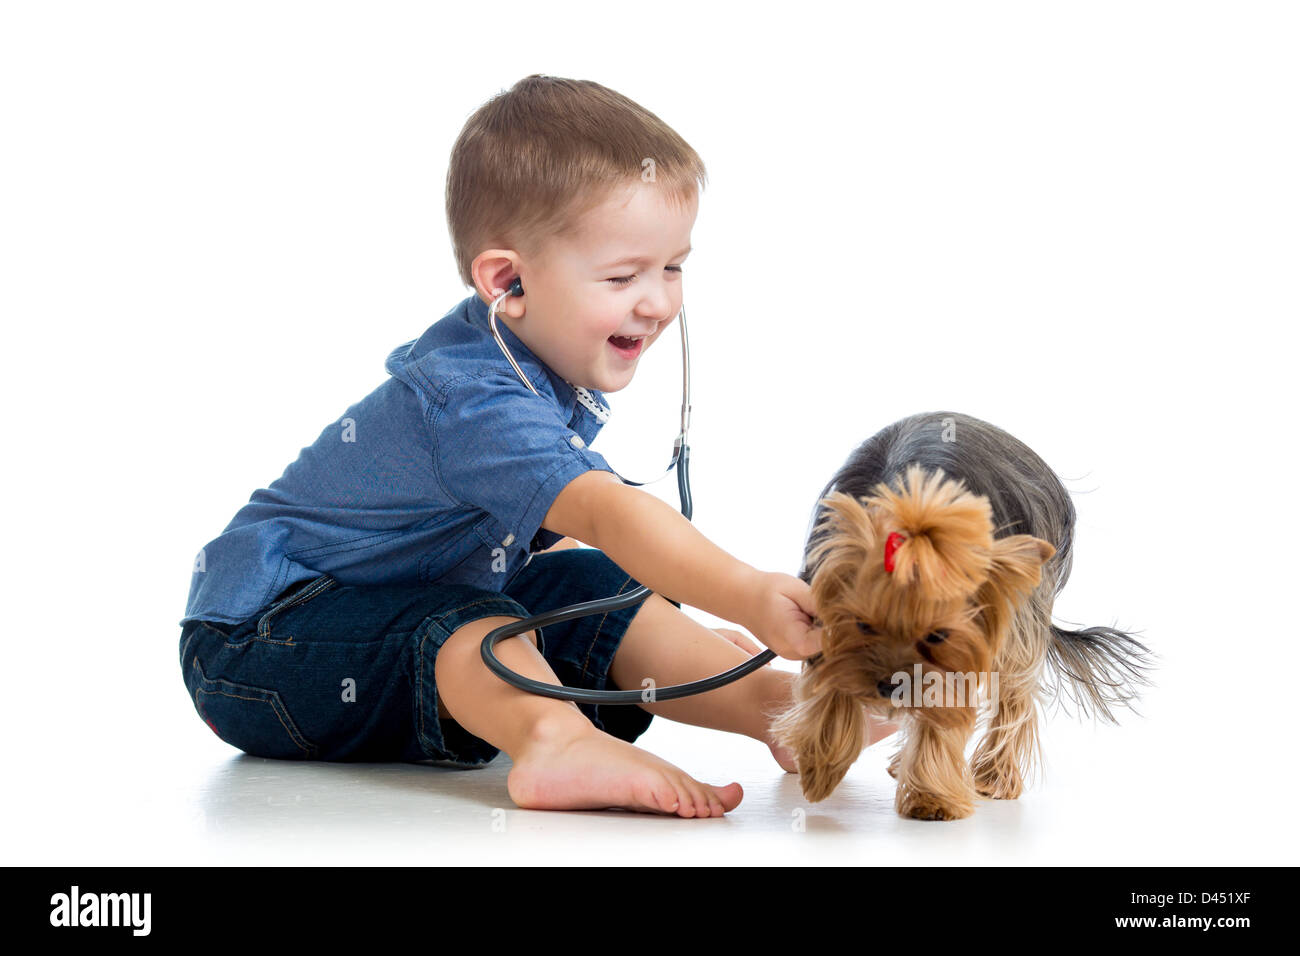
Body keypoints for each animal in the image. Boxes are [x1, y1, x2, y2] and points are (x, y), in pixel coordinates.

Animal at [764, 411, 1154, 822]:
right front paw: (820, 767)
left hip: (1025, 602)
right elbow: (830, 684)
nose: (892, 686)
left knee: (1014, 692)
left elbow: (949, 700)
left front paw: (930, 797)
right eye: (864, 626)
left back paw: (995, 775)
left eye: (937, 635)